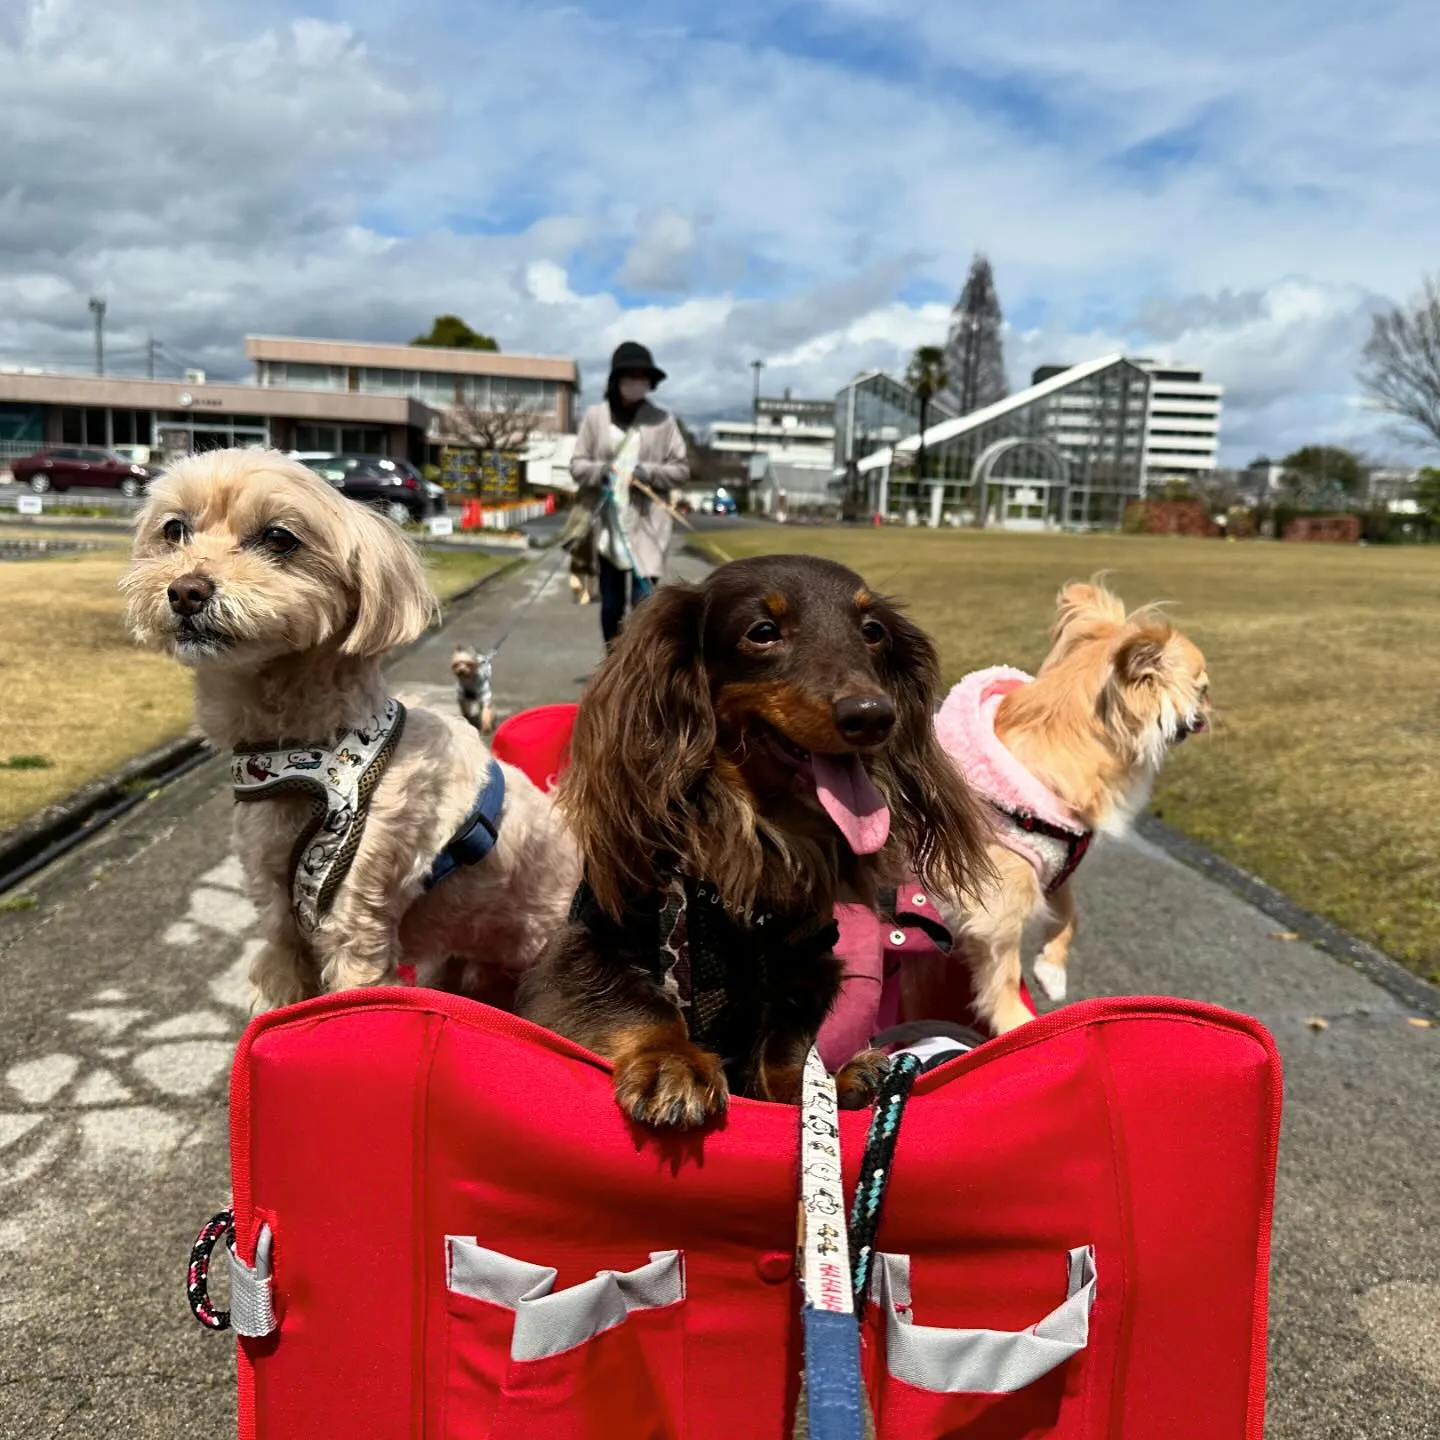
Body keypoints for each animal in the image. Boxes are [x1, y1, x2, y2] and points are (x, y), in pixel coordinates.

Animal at [119, 449, 578, 1013]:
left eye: (279, 538)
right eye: (174, 530)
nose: (186, 590)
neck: (310, 750)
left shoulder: (356, 913)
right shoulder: (279, 916)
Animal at [518, 555, 990, 1128]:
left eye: (872, 631)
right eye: (762, 632)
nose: (874, 715)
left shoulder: (805, 966)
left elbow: (785, 1049)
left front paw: (822, 1089)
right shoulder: (589, 943)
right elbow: (641, 1002)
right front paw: (671, 1063)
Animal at [927, 578, 1209, 1042]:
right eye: (1202, 688)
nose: (1207, 713)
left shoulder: (1055, 865)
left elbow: (1071, 917)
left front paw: (1052, 971)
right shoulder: (997, 903)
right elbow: (1004, 973)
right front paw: (1018, 1024)